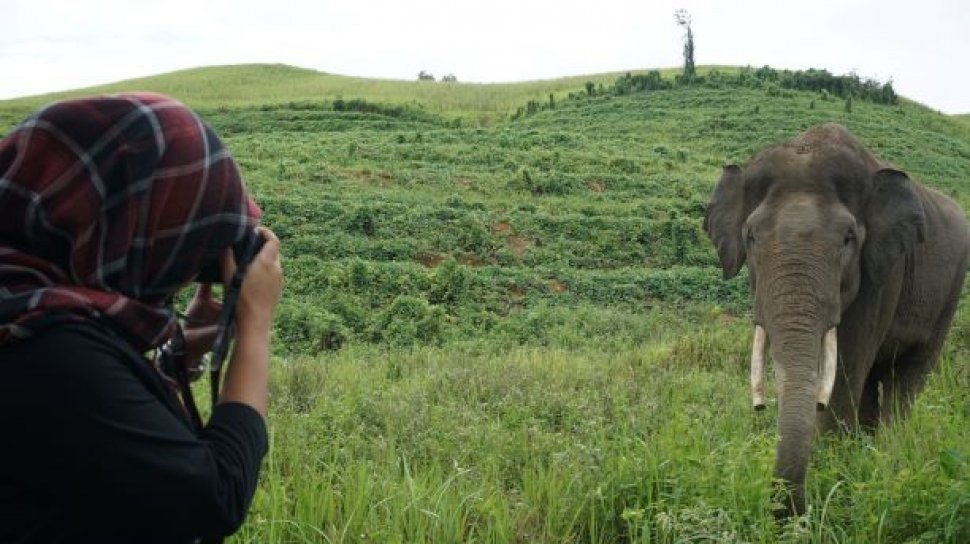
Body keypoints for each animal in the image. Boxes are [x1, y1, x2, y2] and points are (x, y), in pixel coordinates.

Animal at [704, 124, 968, 520]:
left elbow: (846, 366)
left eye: (848, 238)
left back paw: (888, 453)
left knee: (908, 376)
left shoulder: (882, 270)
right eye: (750, 237)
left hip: (950, 292)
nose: (791, 512)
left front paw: (835, 476)